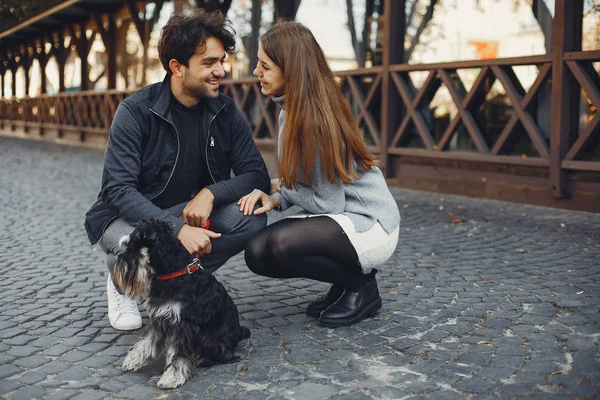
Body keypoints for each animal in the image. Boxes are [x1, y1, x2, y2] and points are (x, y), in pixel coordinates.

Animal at [113, 219, 250, 388]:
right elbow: (146, 342)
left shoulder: (183, 325)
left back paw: (201, 358)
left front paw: (171, 378)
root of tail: (239, 332)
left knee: (225, 355)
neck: (174, 273)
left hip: (211, 340)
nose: (118, 263)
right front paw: (133, 360)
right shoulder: (159, 318)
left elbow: (177, 354)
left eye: (132, 247)